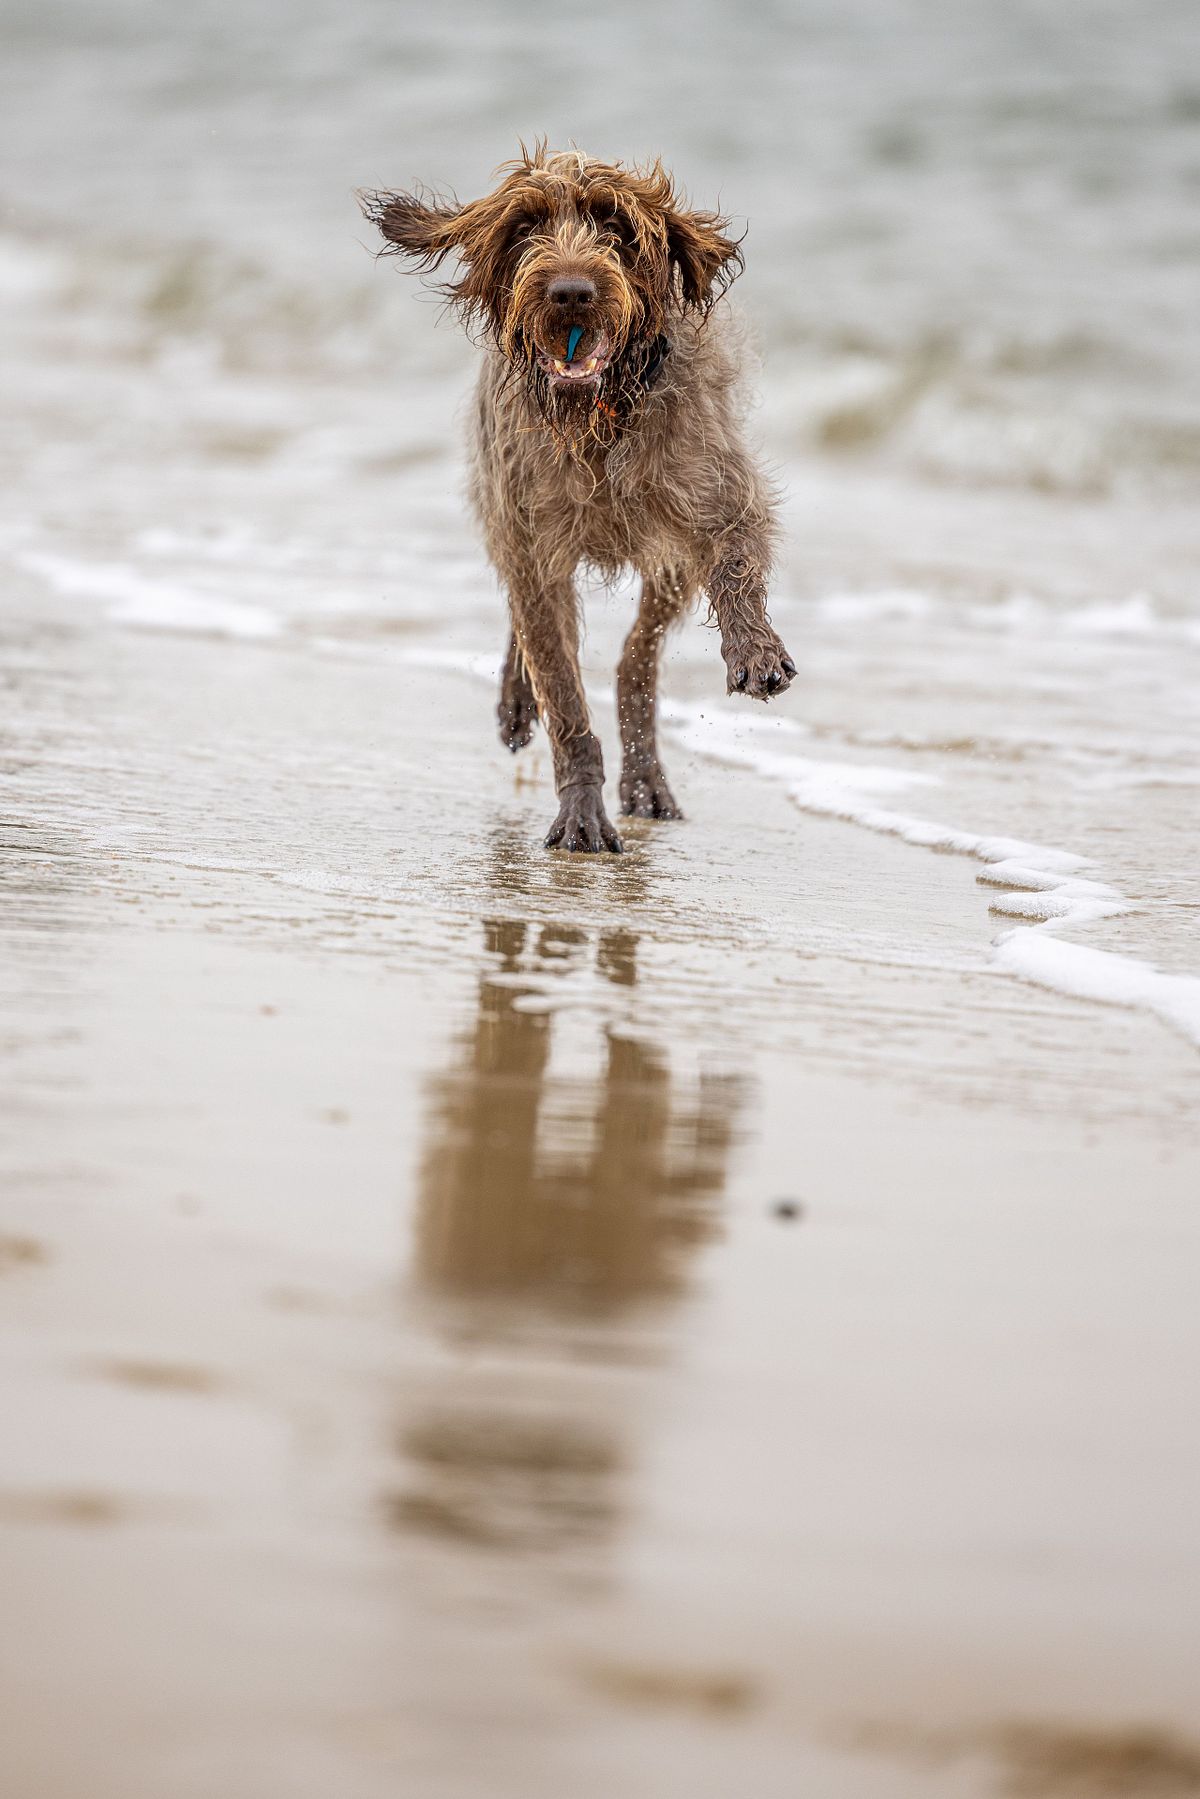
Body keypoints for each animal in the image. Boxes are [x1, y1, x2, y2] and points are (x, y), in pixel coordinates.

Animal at [359, 145, 794, 853]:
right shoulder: (532, 546)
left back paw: (645, 776)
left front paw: (755, 651)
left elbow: (734, 559)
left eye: (615, 226)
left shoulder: (713, 494)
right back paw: (519, 701)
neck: (598, 420)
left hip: (667, 565)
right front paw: (581, 808)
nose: (570, 292)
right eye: (526, 227)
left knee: (635, 662)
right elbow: (560, 686)